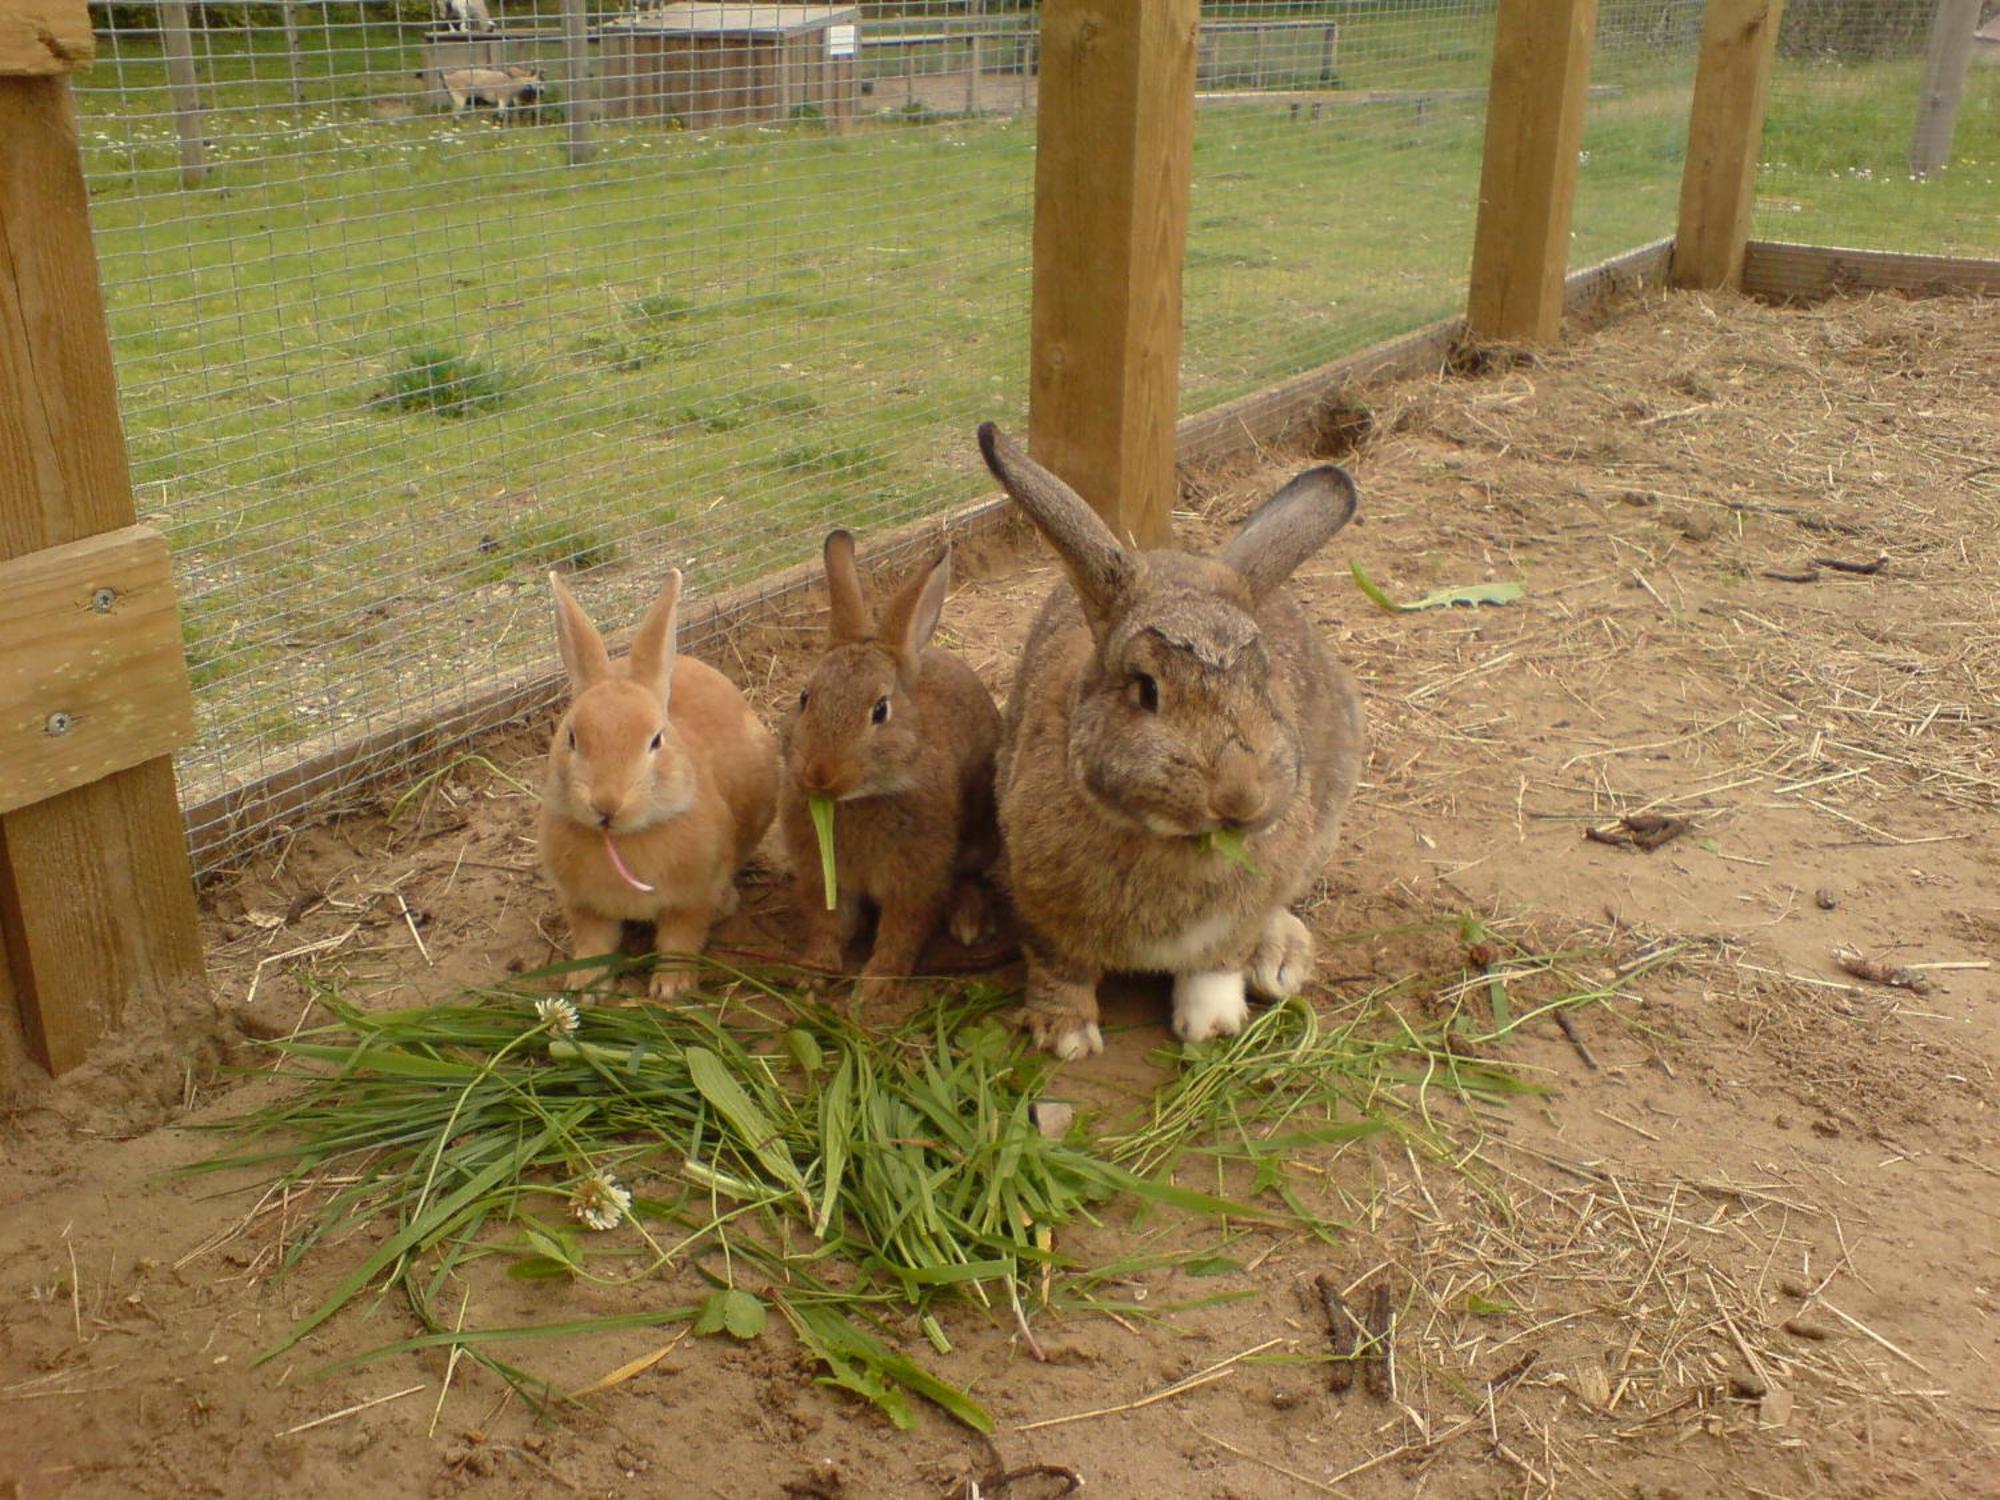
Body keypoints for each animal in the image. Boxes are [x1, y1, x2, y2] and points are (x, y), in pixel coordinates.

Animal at [536, 568, 776, 1004]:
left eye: (655, 740)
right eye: (571, 737)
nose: (607, 804)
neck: (623, 842)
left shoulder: (694, 895)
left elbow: (680, 939)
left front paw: (671, 988)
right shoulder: (582, 903)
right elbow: (593, 942)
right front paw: (585, 988)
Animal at [776, 528, 1000, 1012]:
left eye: (880, 710)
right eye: (804, 697)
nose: (820, 773)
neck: (857, 800)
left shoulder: (914, 879)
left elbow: (902, 932)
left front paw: (875, 987)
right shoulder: (824, 875)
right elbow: (827, 923)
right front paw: (812, 973)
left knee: (969, 877)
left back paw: (967, 923)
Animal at [976, 420, 1368, 1056]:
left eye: (1266, 681)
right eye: (1146, 688)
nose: (1239, 797)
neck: (1177, 843)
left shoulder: (1237, 921)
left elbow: (1214, 966)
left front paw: (1211, 1026)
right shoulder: (1039, 911)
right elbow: (1060, 971)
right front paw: (1068, 1037)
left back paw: (1278, 964)